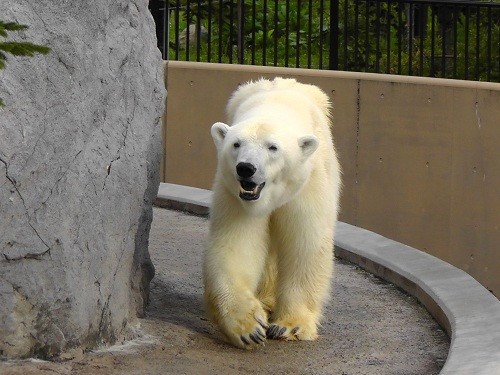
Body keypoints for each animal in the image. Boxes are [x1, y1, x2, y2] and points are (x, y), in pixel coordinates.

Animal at [202, 77, 340, 350]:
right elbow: (236, 244)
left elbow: (305, 245)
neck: (274, 106)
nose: (246, 168)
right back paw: (265, 301)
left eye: (273, 147)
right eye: (236, 144)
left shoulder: (307, 184)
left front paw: (291, 326)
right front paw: (248, 327)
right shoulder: (234, 194)